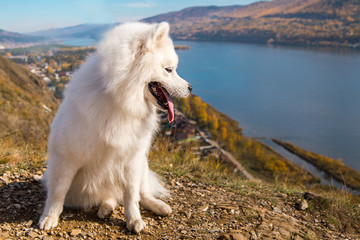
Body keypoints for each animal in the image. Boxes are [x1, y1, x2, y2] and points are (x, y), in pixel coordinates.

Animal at [38, 22, 191, 232]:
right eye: (169, 69)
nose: (191, 88)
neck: (120, 99)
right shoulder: (66, 158)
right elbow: (57, 192)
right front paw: (49, 217)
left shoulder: (133, 159)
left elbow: (131, 195)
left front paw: (134, 220)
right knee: (110, 197)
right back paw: (106, 208)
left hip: (143, 163)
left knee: (142, 193)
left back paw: (156, 205)